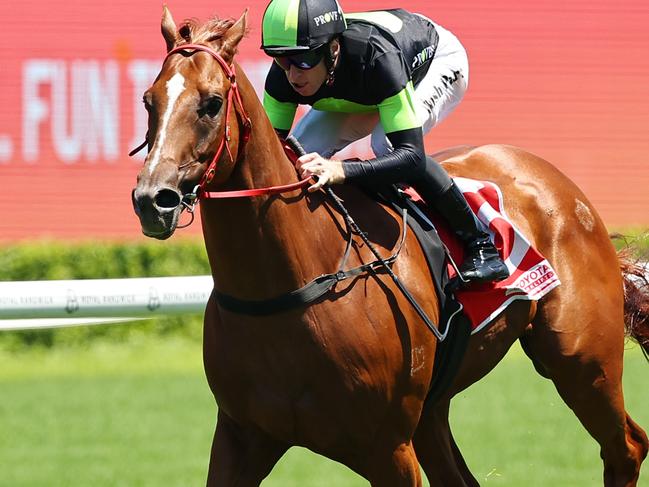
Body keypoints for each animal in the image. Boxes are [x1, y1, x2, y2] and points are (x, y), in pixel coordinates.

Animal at [132, 8, 648, 487]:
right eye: (148, 100)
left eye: (212, 103)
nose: (153, 199)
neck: (288, 287)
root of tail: (558, 182)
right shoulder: (242, 436)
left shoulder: (388, 448)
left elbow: (409, 152)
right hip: (435, 411)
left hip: (582, 362)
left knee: (626, 446)